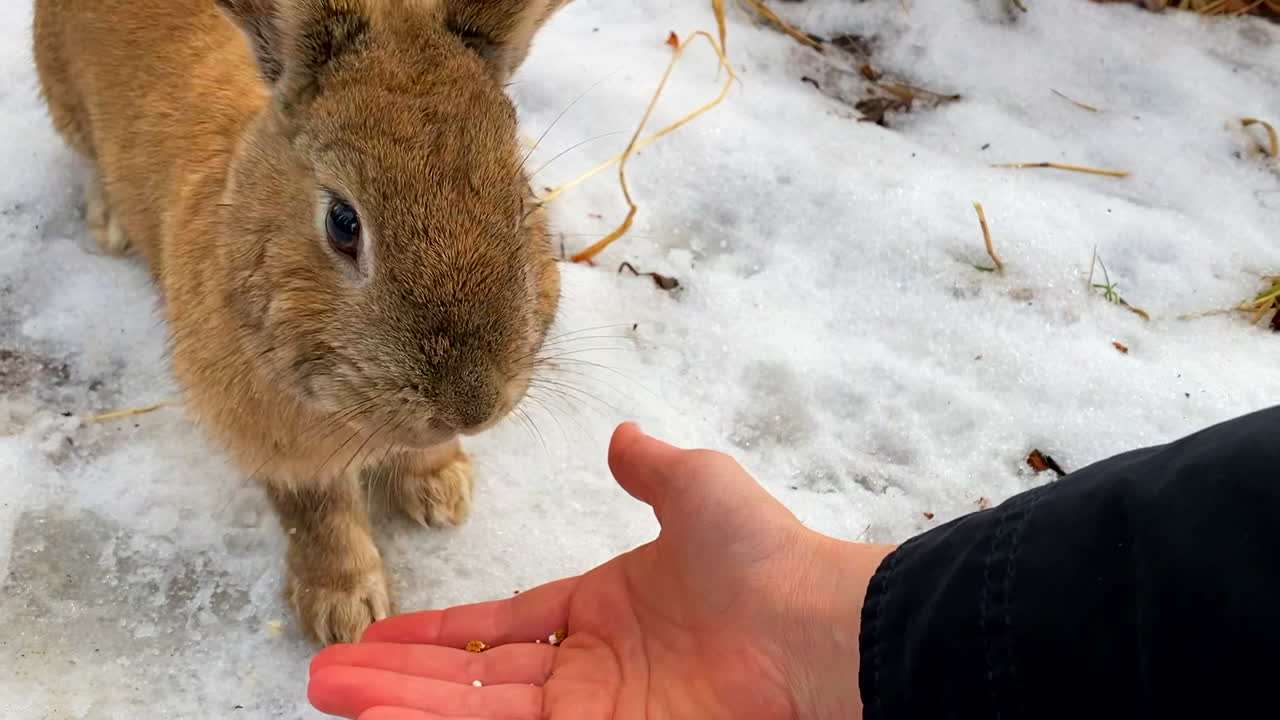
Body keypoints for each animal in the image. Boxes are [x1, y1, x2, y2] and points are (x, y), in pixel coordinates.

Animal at [33, 0, 569, 644]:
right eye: (343, 221)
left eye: (522, 199)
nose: (471, 408)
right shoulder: (277, 446)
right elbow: (316, 515)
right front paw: (347, 613)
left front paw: (443, 490)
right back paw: (109, 223)